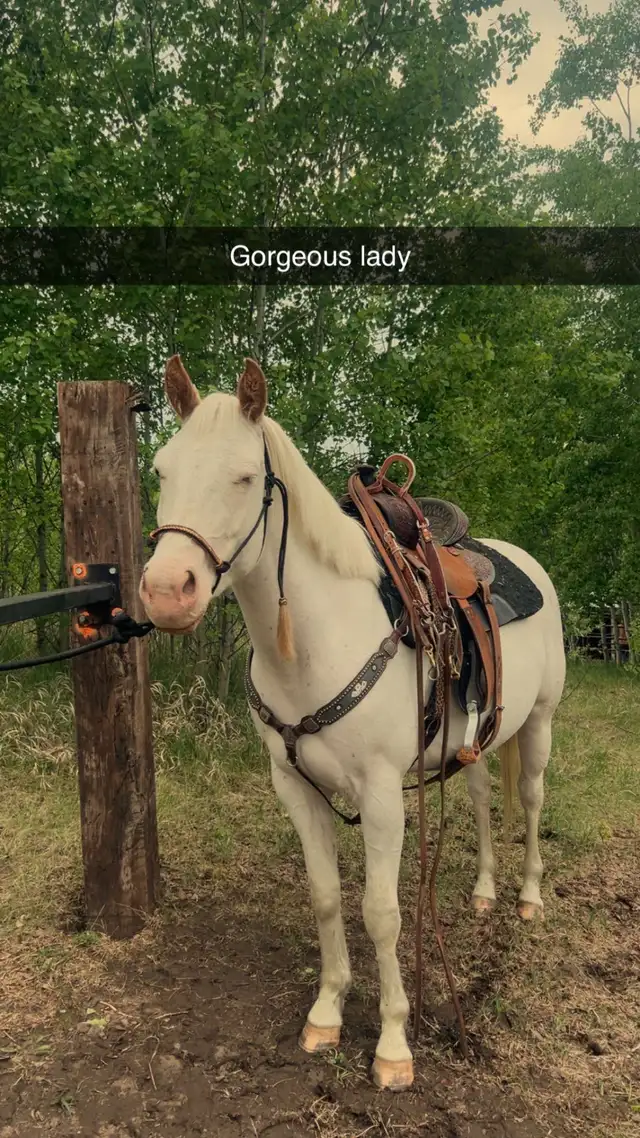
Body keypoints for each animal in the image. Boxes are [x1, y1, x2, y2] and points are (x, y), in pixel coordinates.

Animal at [139, 355, 566, 1091]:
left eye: (244, 477)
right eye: (163, 470)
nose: (167, 592)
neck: (316, 640)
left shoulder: (382, 796)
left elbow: (381, 913)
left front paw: (393, 1044)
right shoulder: (294, 787)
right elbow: (325, 897)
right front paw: (327, 1012)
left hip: (538, 724)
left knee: (532, 800)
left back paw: (528, 897)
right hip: (478, 742)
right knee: (484, 799)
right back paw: (484, 891)